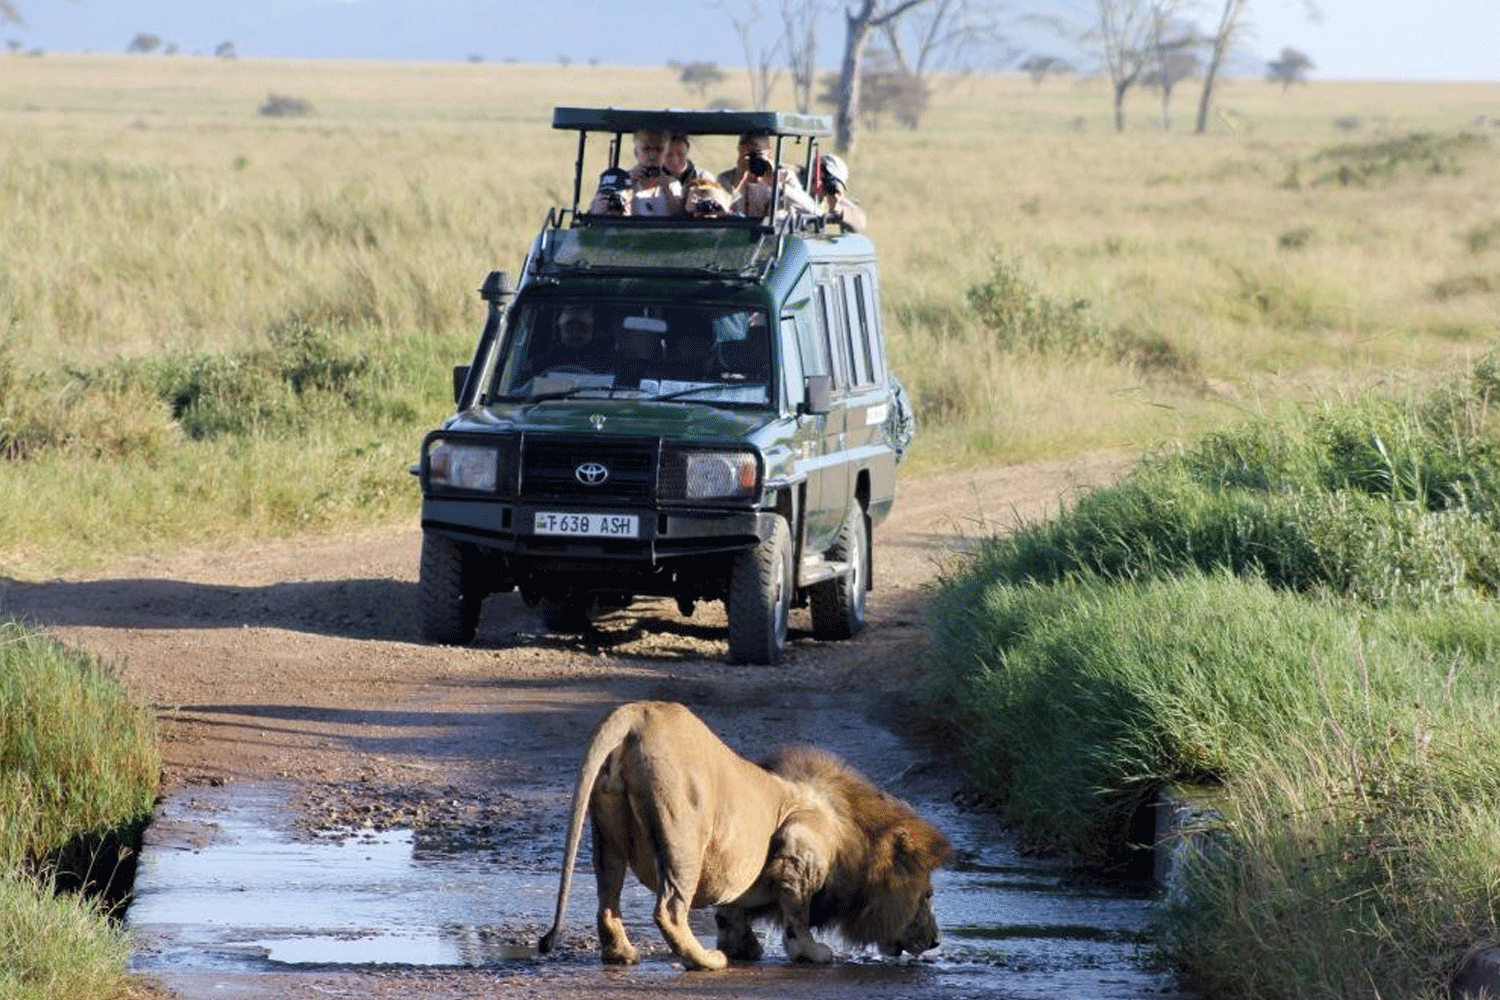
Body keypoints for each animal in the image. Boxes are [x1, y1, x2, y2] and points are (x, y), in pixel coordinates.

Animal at [540, 704, 948, 971]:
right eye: (927, 895)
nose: (936, 942)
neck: (853, 834)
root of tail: (637, 714)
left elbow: (731, 912)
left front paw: (743, 945)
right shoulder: (800, 845)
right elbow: (797, 915)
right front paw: (810, 952)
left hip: (608, 833)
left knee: (607, 902)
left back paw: (621, 954)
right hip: (683, 837)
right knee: (669, 909)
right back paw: (706, 960)